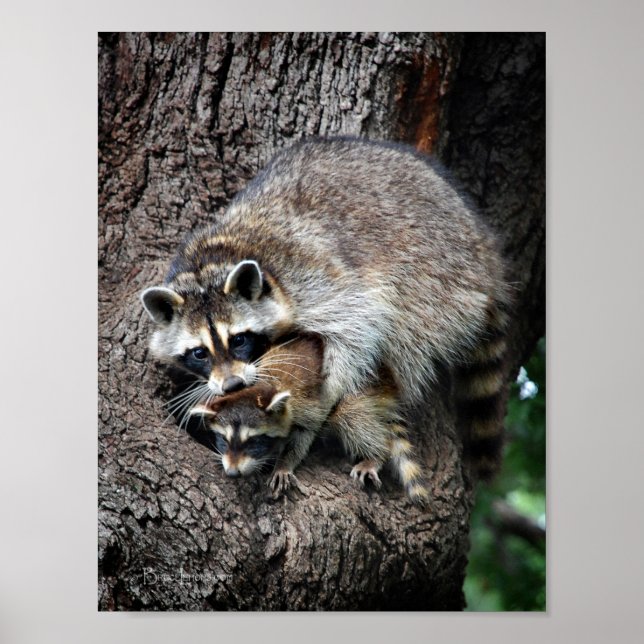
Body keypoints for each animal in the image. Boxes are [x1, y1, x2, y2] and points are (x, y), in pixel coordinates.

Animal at [141, 137, 511, 478]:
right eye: (199, 353)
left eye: (239, 340)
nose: (232, 385)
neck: (209, 264)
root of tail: (486, 249)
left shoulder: (315, 279)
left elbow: (358, 326)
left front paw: (325, 397)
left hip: (440, 276)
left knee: (407, 333)